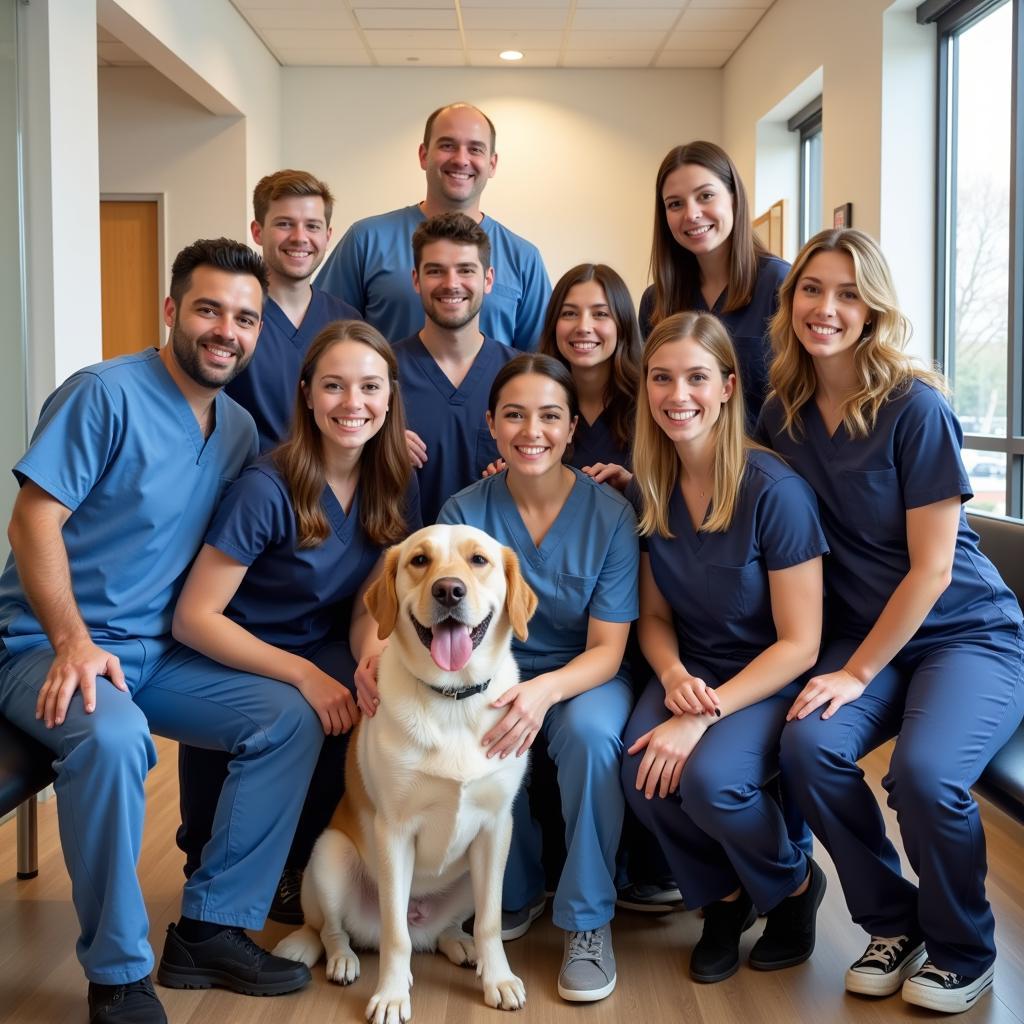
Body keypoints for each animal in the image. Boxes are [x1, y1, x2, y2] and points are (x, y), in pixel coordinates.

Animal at [276, 528, 540, 1024]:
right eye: (419, 560)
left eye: (478, 560)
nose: (449, 590)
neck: (453, 697)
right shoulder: (394, 832)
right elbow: (394, 934)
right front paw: (393, 996)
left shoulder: (496, 827)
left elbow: (491, 921)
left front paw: (498, 979)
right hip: (331, 856)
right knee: (334, 931)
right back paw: (342, 959)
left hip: (469, 875)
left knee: (448, 928)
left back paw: (461, 945)